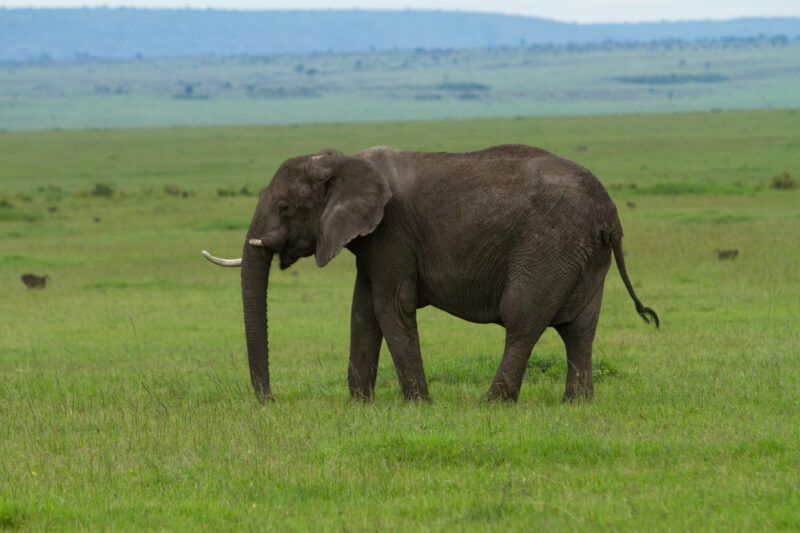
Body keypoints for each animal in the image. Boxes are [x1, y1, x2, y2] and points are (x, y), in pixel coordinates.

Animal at [202, 144, 658, 403]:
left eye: (284, 207)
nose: (270, 400)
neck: (343, 159)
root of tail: (609, 212)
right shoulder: (371, 240)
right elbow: (362, 311)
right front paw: (359, 405)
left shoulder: (391, 231)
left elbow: (390, 307)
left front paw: (418, 404)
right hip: (586, 255)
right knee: (580, 329)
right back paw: (577, 403)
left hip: (550, 247)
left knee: (522, 320)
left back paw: (492, 402)